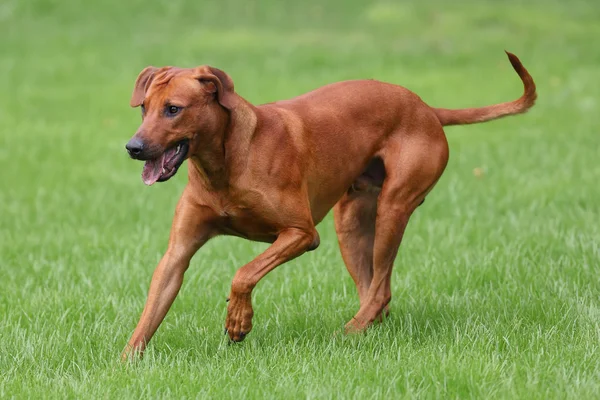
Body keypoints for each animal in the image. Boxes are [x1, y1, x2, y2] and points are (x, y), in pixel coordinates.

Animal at [119, 50, 536, 360]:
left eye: (173, 109)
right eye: (144, 108)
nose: (133, 147)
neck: (224, 164)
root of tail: (428, 109)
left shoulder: (302, 233)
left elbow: (244, 272)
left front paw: (238, 320)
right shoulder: (178, 252)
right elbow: (151, 310)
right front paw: (125, 363)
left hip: (393, 207)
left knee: (380, 290)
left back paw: (345, 335)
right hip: (350, 221)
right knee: (375, 293)